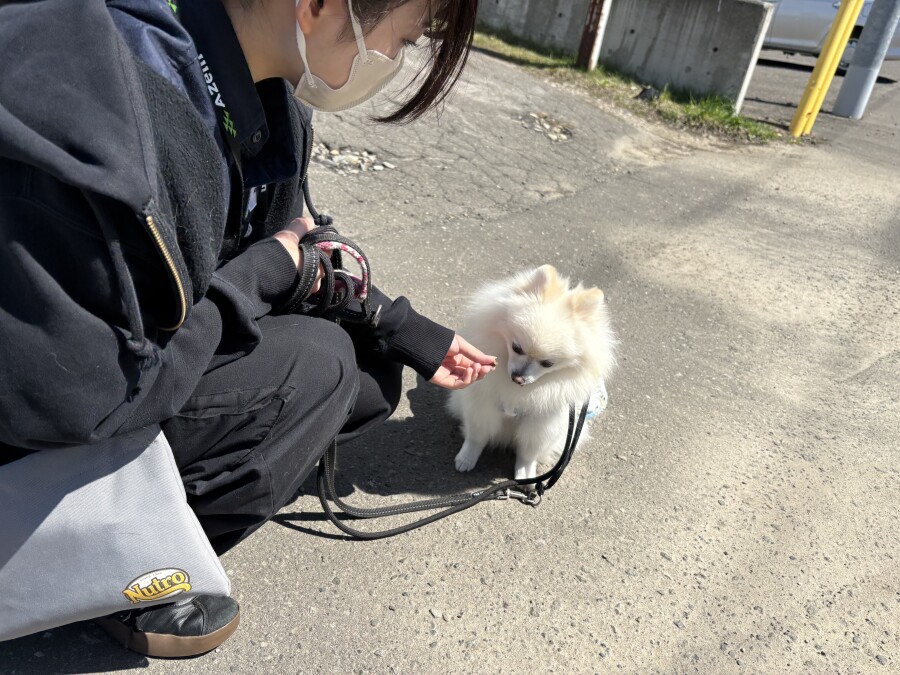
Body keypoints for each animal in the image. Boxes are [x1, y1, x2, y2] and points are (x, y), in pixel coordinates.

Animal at [448, 265, 616, 480]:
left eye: (548, 363)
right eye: (516, 347)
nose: (518, 378)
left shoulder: (541, 424)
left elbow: (528, 453)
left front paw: (526, 474)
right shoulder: (482, 404)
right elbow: (477, 435)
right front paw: (466, 458)